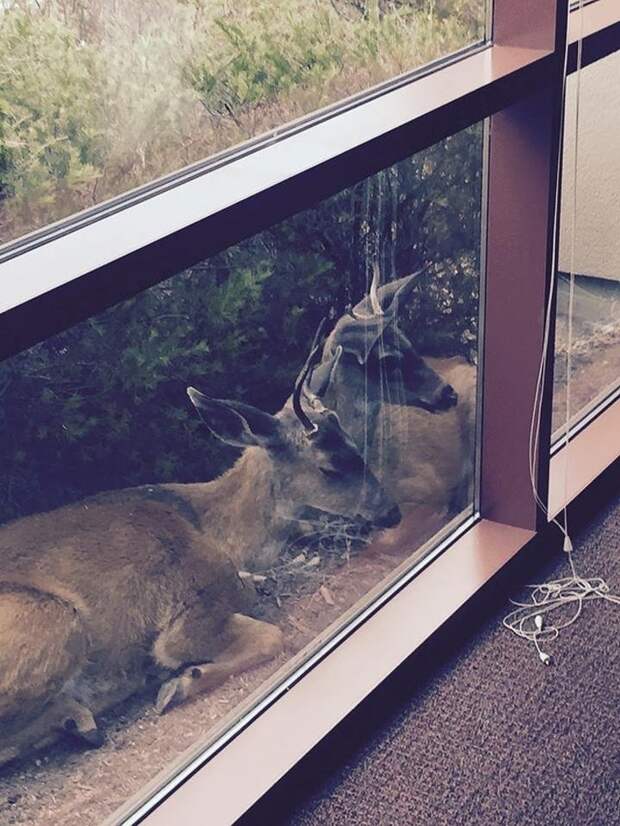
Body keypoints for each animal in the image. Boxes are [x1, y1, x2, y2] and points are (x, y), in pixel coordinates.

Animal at [0, 338, 398, 764]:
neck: (217, 533)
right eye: (329, 467)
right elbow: (268, 636)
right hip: (54, 616)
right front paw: (179, 683)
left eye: (355, 444)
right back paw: (82, 717)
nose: (392, 511)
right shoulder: (189, 608)